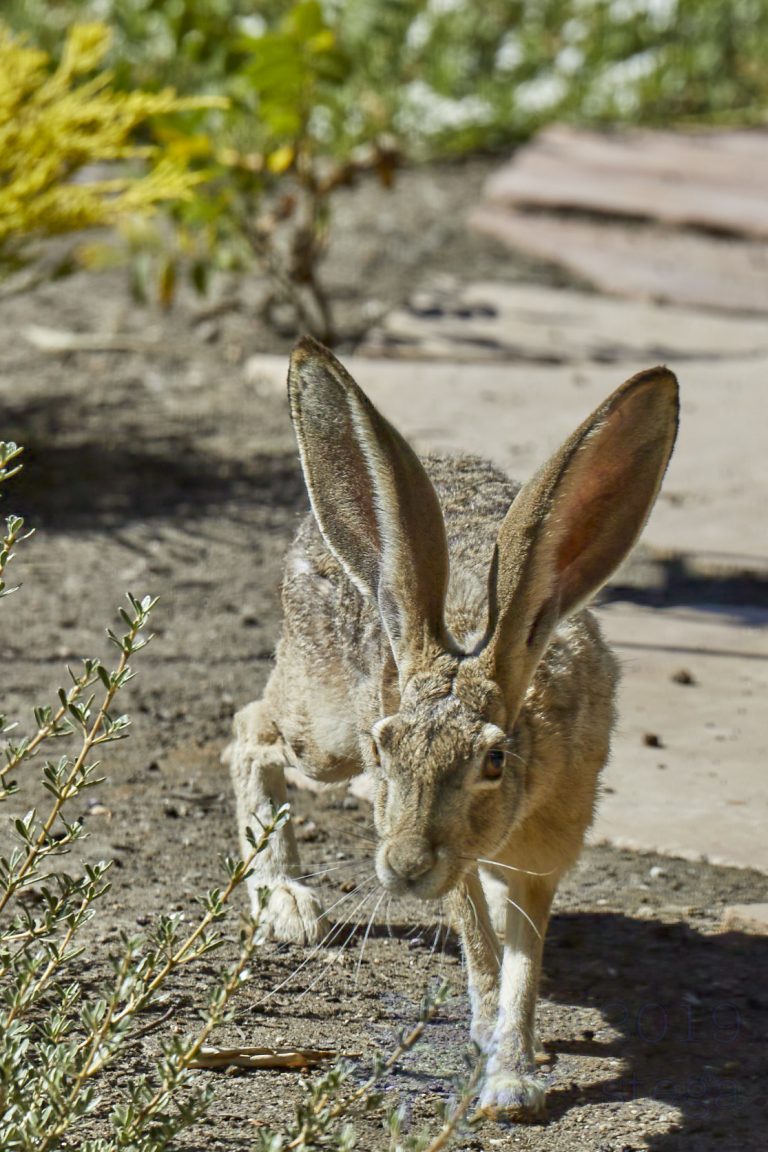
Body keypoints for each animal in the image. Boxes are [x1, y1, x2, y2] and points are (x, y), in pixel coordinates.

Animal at [226, 336, 679, 1116]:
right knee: (251, 728)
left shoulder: (543, 857)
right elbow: (481, 948)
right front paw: (499, 1057)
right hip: (325, 734)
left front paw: (513, 1080)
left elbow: (525, 959)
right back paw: (286, 900)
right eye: (387, 748)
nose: (405, 868)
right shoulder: (442, 846)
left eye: (493, 760)